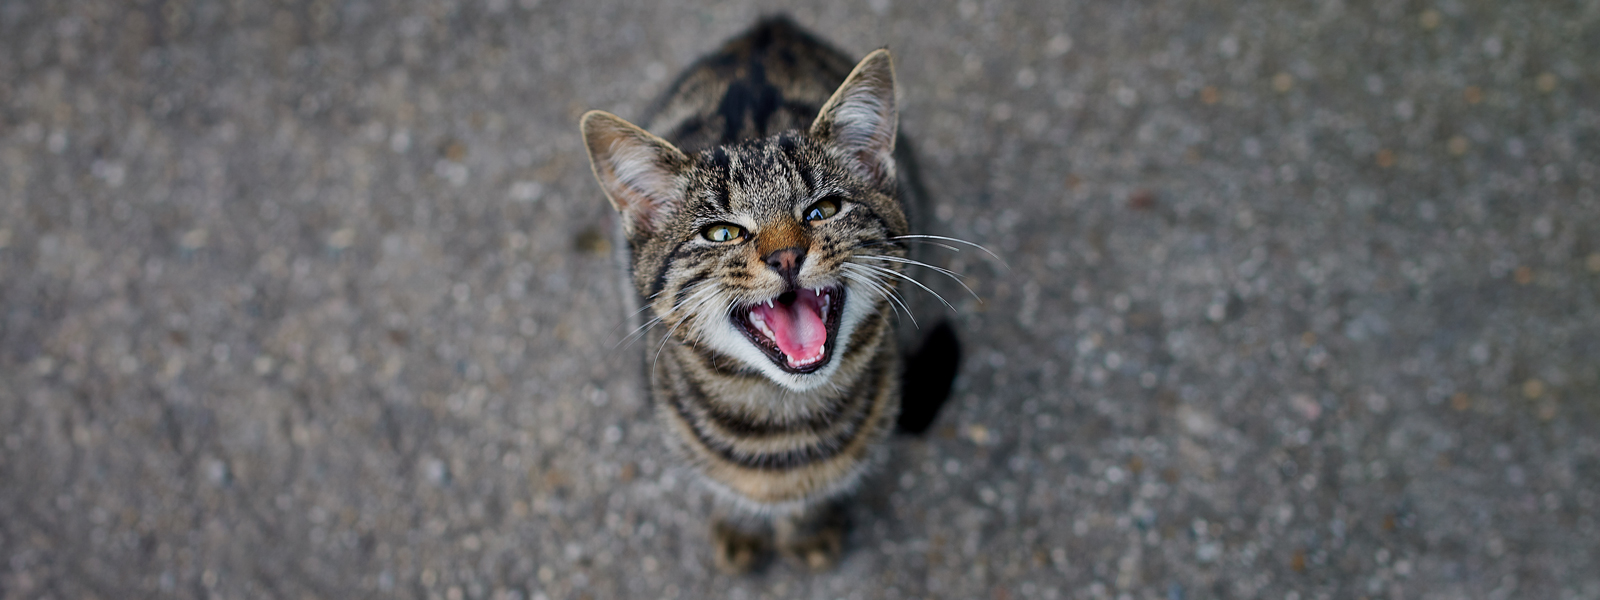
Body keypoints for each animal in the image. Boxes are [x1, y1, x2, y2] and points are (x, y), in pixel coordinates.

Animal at [579, 16, 947, 576]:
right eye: (722, 233)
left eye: (823, 210)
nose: (787, 256)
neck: (784, 420)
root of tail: (770, 27)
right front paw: (740, 525)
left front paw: (807, 529)